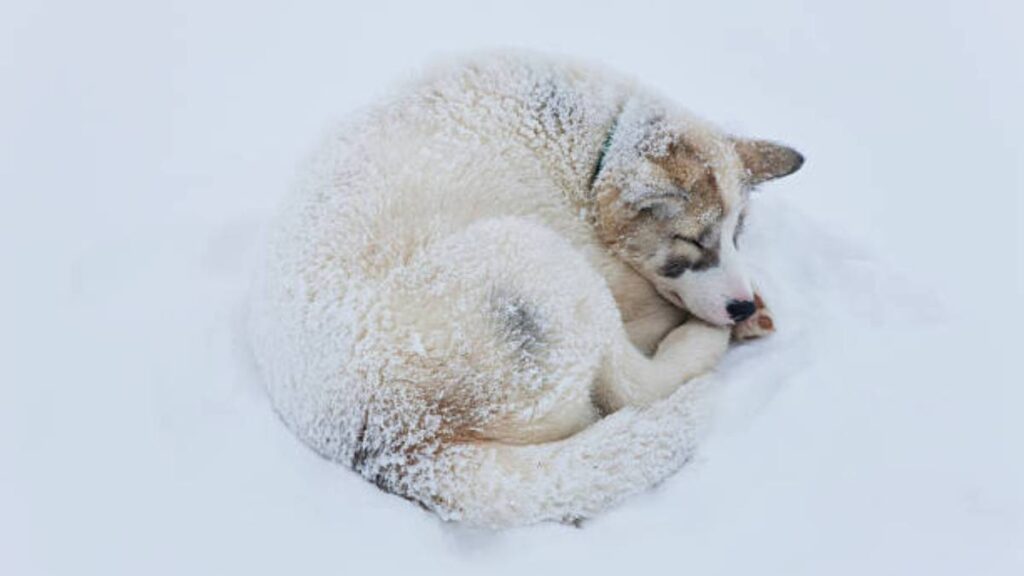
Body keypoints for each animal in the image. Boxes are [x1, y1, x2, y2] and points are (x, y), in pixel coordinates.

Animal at [247, 49, 798, 524]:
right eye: (690, 242)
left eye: (738, 233)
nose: (740, 306)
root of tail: (399, 448)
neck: (592, 152)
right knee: (634, 386)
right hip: (542, 260)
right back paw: (703, 340)